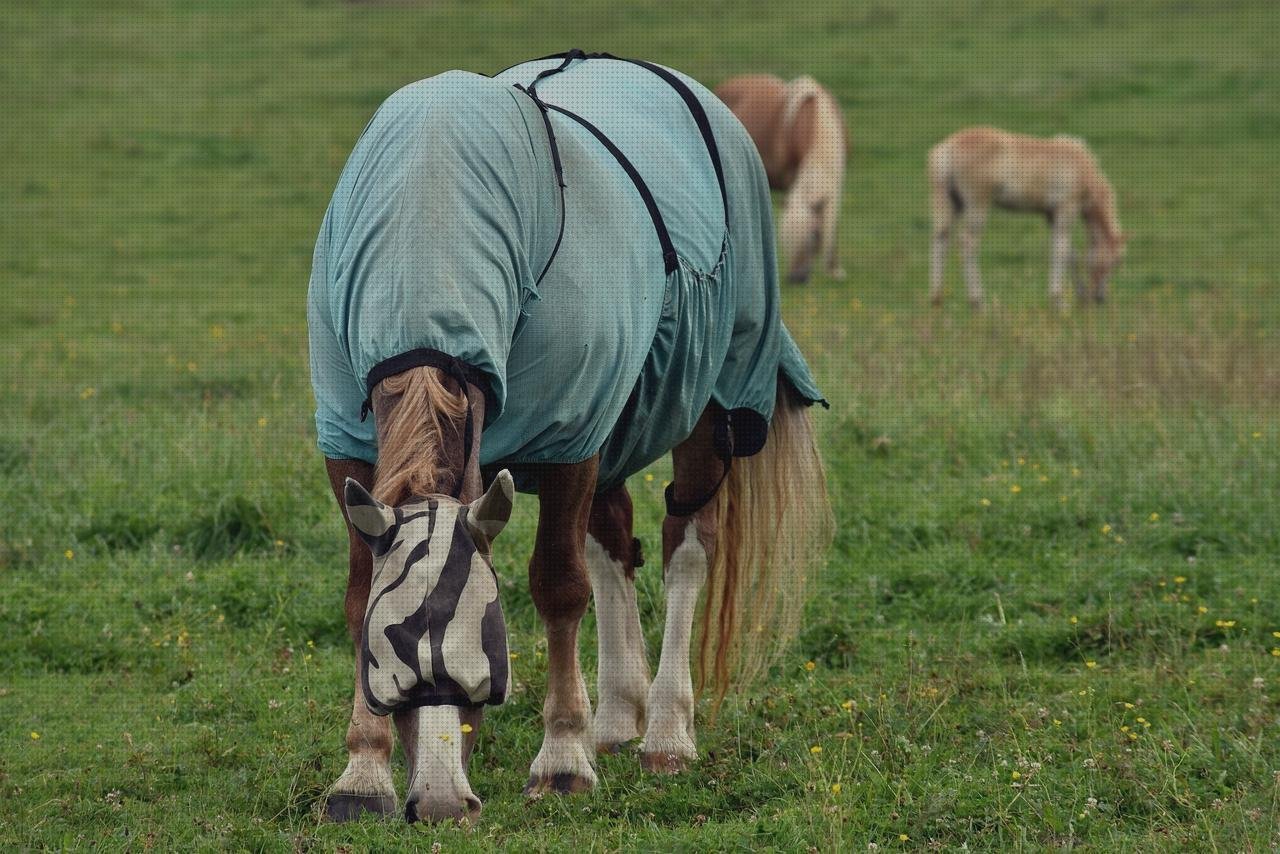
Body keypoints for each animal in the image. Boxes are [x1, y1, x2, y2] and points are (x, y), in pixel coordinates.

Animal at [305, 50, 834, 824]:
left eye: (489, 663)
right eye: (388, 668)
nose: (440, 803)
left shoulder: (570, 438)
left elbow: (558, 588)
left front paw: (561, 759)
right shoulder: (346, 438)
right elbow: (355, 594)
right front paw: (362, 771)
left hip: (708, 399)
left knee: (685, 546)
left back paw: (665, 730)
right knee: (612, 541)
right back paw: (615, 716)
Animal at [926, 126, 1126, 311]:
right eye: (1116, 261)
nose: (1100, 298)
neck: (1081, 167)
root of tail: (948, 148)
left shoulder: (1051, 215)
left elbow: (1070, 254)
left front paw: (1080, 296)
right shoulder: (1066, 210)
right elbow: (1061, 252)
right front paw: (1059, 302)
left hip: (948, 204)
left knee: (940, 239)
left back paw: (937, 299)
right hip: (977, 205)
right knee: (967, 244)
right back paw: (978, 303)